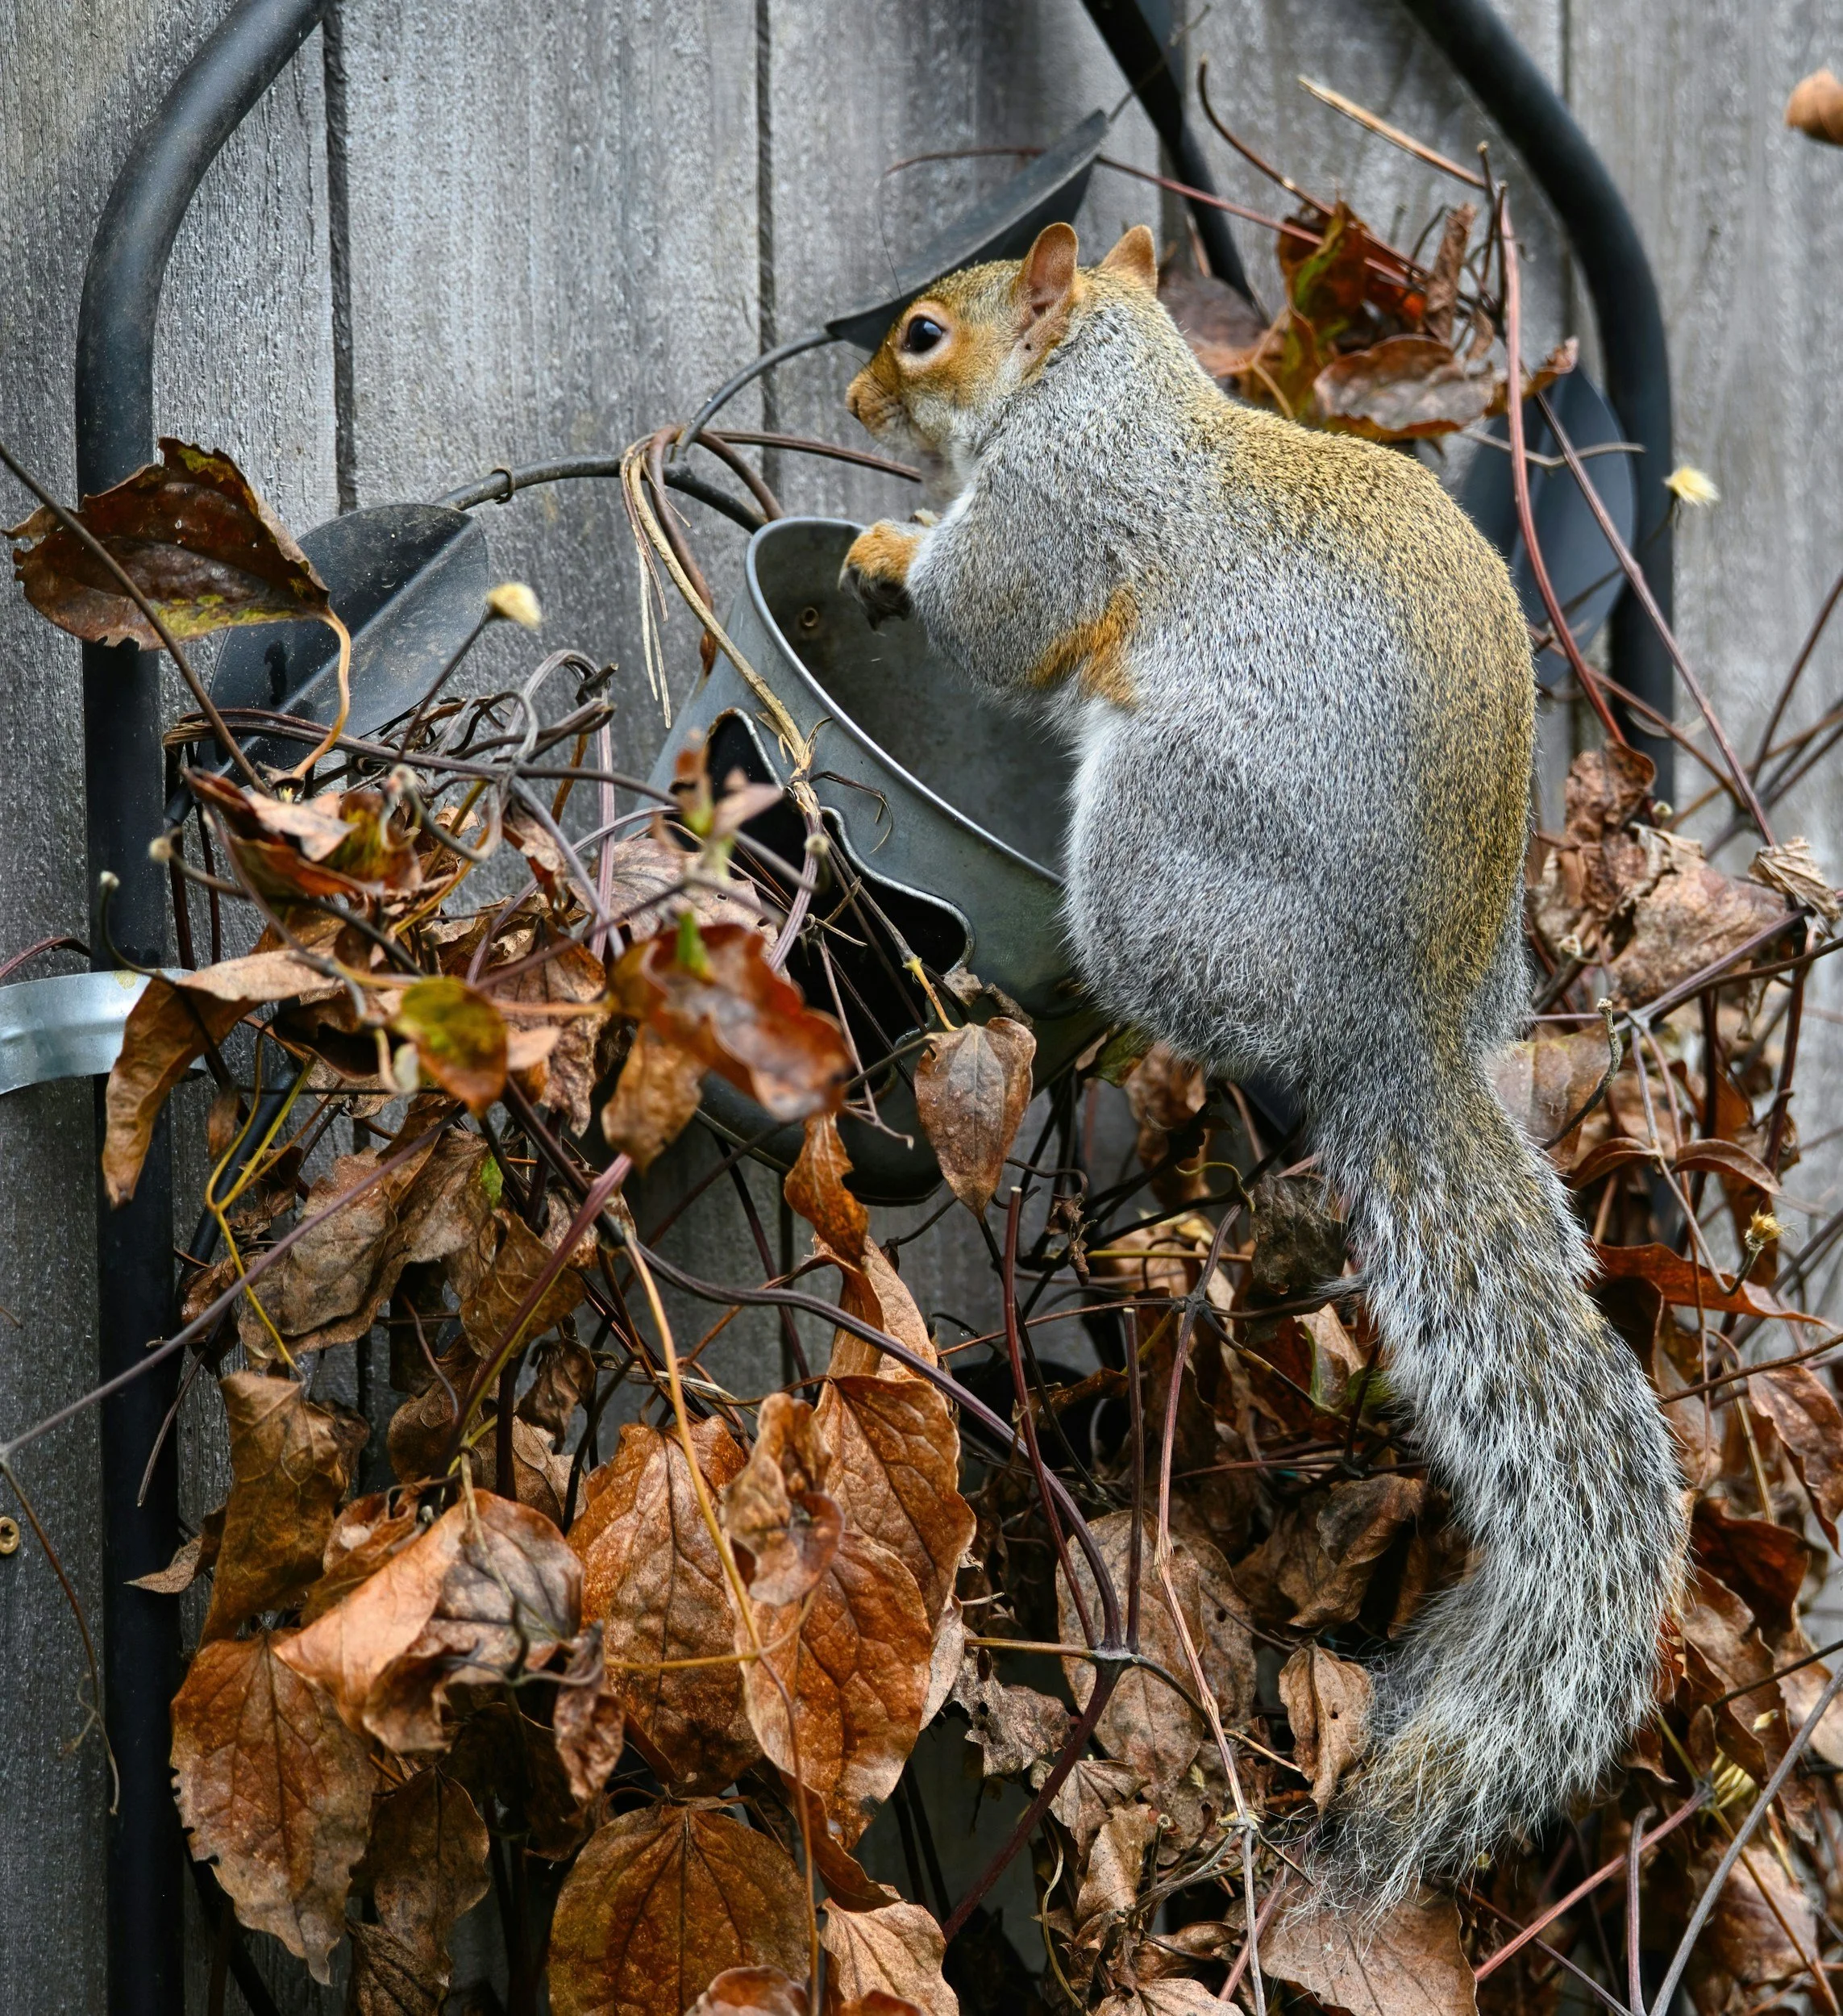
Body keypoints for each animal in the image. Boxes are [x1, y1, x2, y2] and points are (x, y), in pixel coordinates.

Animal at [838, 220, 1687, 1905]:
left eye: (921, 338)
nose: (846, 400)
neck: (1100, 373)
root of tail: (1399, 1036)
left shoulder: (1053, 508)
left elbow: (991, 613)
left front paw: (889, 552)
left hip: (1158, 856)